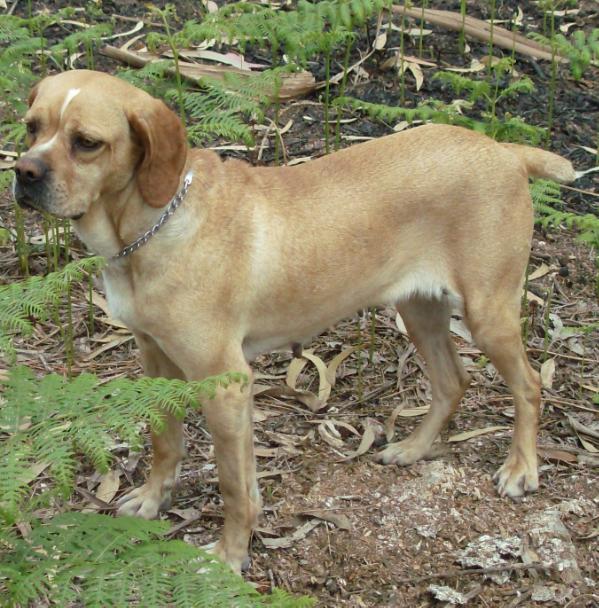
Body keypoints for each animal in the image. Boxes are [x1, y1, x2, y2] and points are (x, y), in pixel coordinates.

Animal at [14, 69, 576, 572]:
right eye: (31, 127)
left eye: (87, 143)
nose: (23, 173)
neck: (151, 226)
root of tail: (506, 151)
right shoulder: (155, 363)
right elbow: (165, 441)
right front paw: (155, 499)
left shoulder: (226, 384)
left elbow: (235, 486)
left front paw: (230, 555)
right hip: (419, 309)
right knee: (452, 381)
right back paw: (413, 449)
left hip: (487, 313)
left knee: (528, 384)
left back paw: (521, 468)